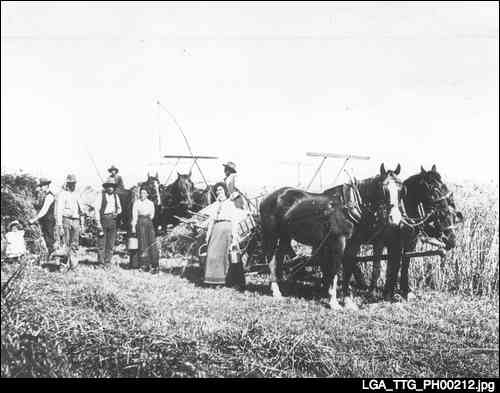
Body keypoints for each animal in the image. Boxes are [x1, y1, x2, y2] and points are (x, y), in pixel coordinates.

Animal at [260, 163, 404, 310]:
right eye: (384, 187)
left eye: (400, 187)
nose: (396, 220)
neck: (349, 206)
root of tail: (267, 198)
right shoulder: (338, 242)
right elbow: (334, 271)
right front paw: (334, 302)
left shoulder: (353, 245)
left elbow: (347, 272)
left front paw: (348, 302)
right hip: (271, 236)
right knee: (271, 260)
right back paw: (276, 291)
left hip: (285, 237)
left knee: (279, 259)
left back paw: (281, 290)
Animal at [354, 164, 462, 298]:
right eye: (434, 189)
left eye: (444, 186)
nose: (447, 208)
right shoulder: (393, 243)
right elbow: (393, 264)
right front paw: (389, 291)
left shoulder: (411, 241)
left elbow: (406, 261)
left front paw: (405, 290)